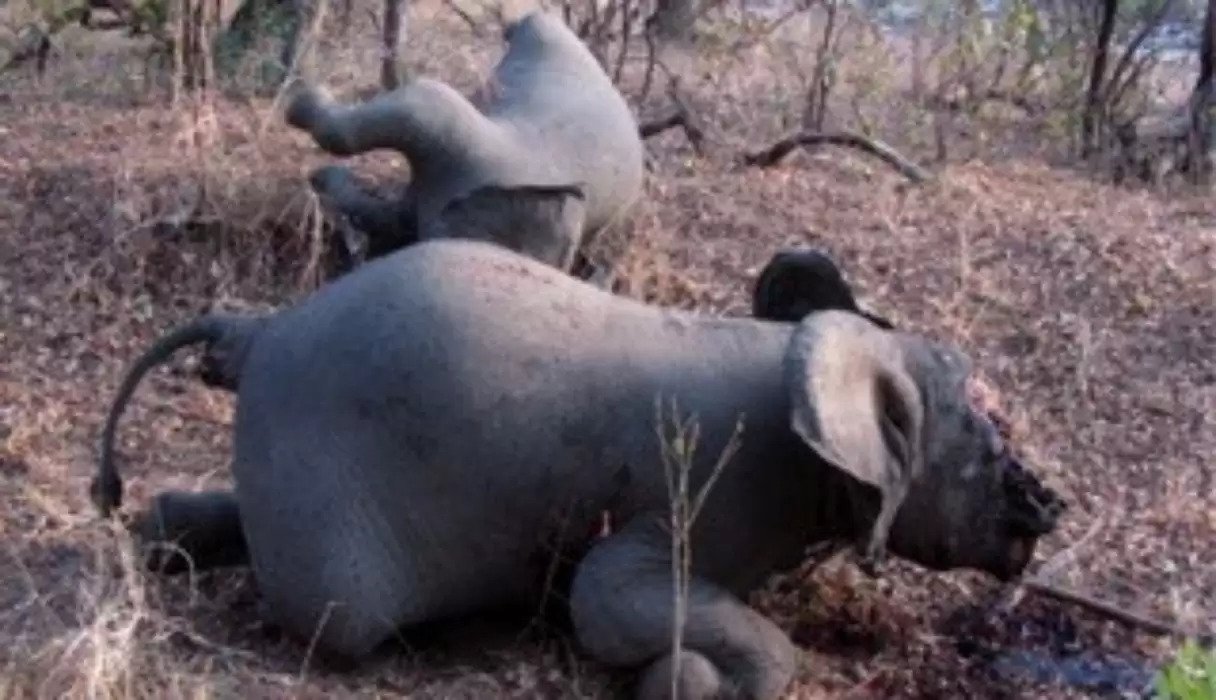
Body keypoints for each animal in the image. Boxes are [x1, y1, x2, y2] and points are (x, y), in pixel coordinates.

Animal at [92, 239, 1065, 699]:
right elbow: (604, 601)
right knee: (340, 616)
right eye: (991, 427)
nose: (1048, 505)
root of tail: (259, 332)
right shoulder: (705, 498)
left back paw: (165, 531)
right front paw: (682, 684)